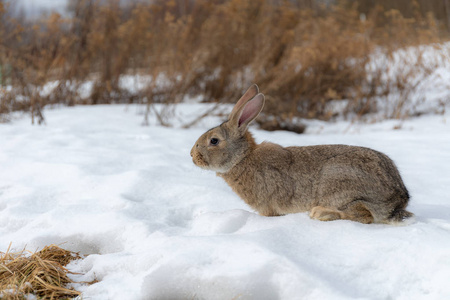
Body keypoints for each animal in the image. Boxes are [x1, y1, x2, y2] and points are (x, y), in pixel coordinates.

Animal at [188, 84, 414, 223]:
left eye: (214, 141)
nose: (192, 155)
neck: (242, 158)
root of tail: (398, 197)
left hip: (339, 184)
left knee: (363, 214)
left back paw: (320, 213)